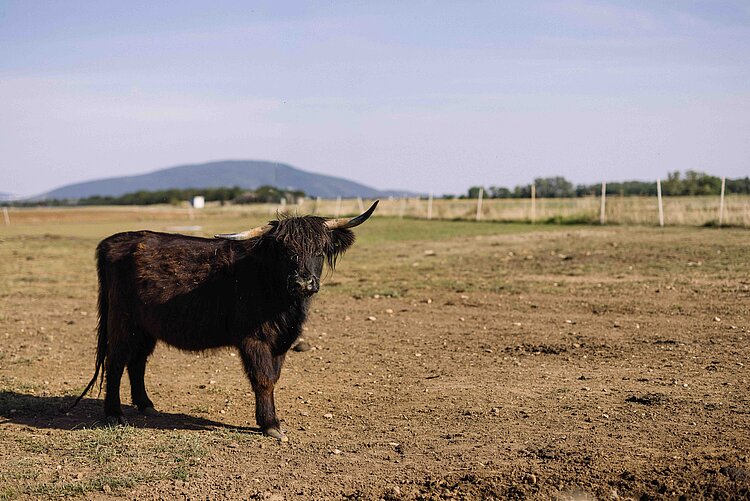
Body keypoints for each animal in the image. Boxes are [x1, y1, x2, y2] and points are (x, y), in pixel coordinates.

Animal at [71, 201, 378, 441]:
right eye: (283, 250)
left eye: (319, 249)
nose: (303, 281)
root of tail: (114, 241)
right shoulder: (254, 339)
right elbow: (263, 379)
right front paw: (270, 425)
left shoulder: (281, 341)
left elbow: (274, 376)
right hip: (123, 323)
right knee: (115, 361)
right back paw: (114, 414)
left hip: (146, 327)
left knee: (137, 363)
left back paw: (146, 405)